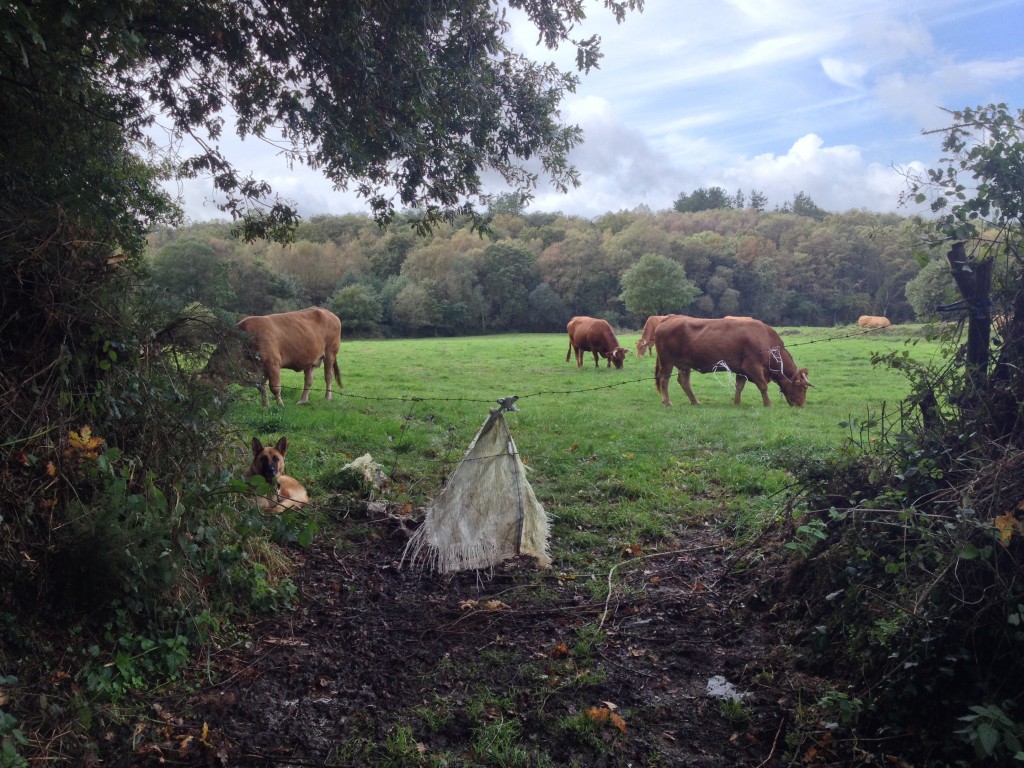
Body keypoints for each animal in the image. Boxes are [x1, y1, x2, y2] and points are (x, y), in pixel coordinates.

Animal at [205, 307, 342, 406]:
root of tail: (329, 313)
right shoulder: (258, 369)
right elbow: (261, 387)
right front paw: (266, 406)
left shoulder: (273, 363)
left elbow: (274, 387)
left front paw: (280, 404)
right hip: (310, 360)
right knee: (308, 380)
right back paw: (302, 400)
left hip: (330, 352)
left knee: (328, 376)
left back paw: (327, 397)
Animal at [653, 315, 811, 407]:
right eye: (803, 387)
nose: (802, 405)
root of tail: (669, 318)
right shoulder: (752, 366)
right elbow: (763, 386)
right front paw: (768, 404)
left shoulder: (742, 370)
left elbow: (739, 386)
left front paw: (737, 403)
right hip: (666, 362)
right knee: (664, 379)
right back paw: (667, 402)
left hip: (684, 364)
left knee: (683, 381)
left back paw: (695, 401)